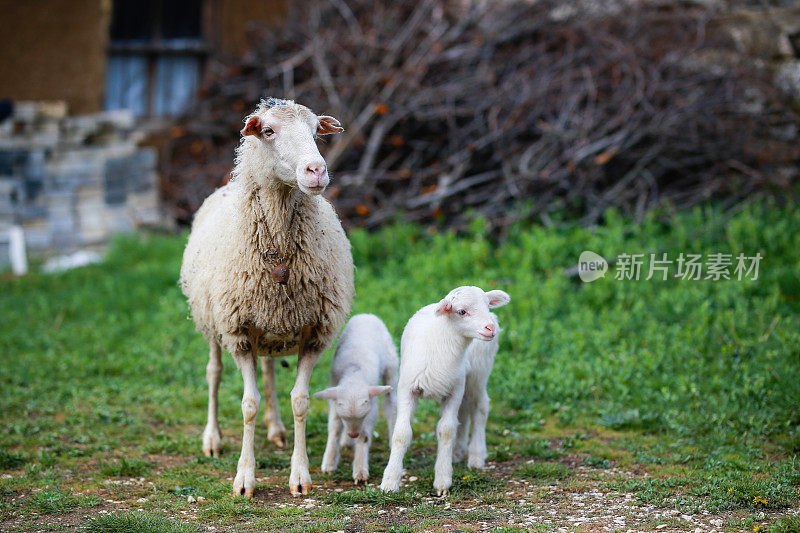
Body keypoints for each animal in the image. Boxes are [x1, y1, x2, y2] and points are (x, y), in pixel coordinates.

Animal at [183, 97, 358, 496]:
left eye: (316, 131)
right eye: (267, 131)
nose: (316, 170)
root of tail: (226, 186)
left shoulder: (316, 334)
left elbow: (300, 401)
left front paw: (300, 476)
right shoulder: (238, 332)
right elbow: (248, 403)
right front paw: (244, 479)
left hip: (270, 327)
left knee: (268, 371)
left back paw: (276, 429)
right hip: (212, 321)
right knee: (213, 373)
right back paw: (212, 438)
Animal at [314, 312, 398, 482]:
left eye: (363, 416)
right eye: (344, 417)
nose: (353, 434)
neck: (354, 372)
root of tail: (367, 315)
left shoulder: (371, 409)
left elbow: (364, 436)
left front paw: (360, 470)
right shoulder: (335, 396)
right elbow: (334, 427)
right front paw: (329, 462)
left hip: (391, 365)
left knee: (391, 406)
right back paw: (346, 442)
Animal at [378, 286, 510, 494]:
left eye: (487, 305)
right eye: (461, 311)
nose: (490, 328)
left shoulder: (454, 390)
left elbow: (447, 430)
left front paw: (442, 480)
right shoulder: (407, 388)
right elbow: (401, 433)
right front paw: (390, 481)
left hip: (478, 373)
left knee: (480, 407)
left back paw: (476, 456)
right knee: (464, 412)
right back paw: (458, 452)